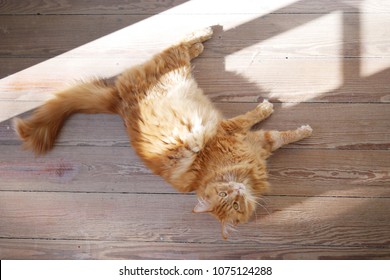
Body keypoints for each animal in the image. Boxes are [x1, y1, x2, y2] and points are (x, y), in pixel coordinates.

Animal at [15, 27, 312, 240]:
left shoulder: (245, 138)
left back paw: (203, 35)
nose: (237, 190)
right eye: (230, 200)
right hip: (176, 71)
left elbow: (275, 130)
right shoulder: (244, 137)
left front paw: (298, 127)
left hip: (176, 71)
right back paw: (201, 39)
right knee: (178, 47)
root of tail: (116, 102)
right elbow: (268, 127)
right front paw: (286, 119)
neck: (223, 170)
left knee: (178, 45)